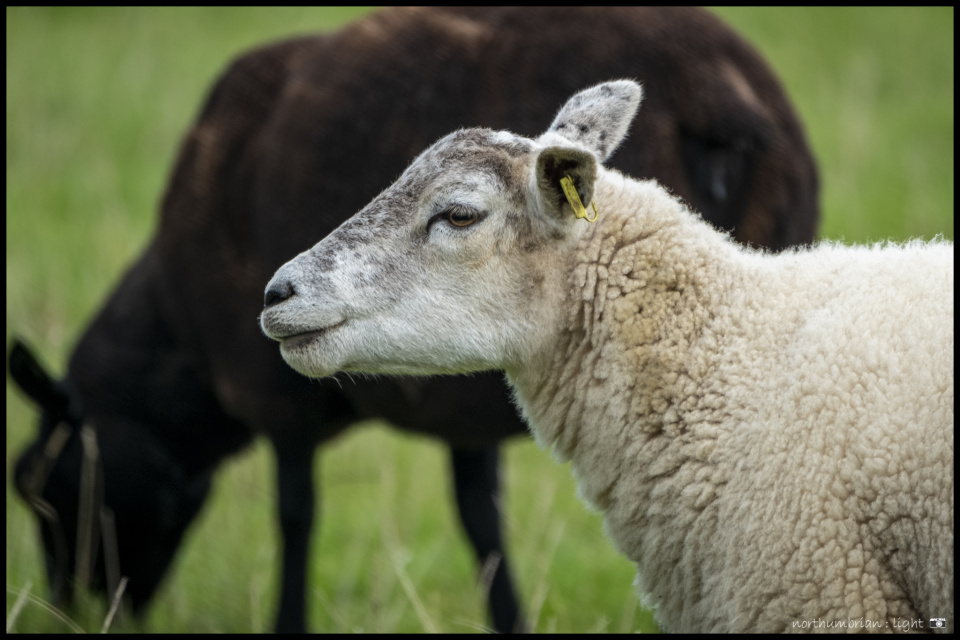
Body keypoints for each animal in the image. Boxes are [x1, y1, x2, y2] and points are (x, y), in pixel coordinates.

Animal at [9, 7, 821, 633]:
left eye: (43, 484)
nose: (72, 612)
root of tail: (723, 100)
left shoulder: (282, 404)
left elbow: (300, 518)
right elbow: (480, 522)